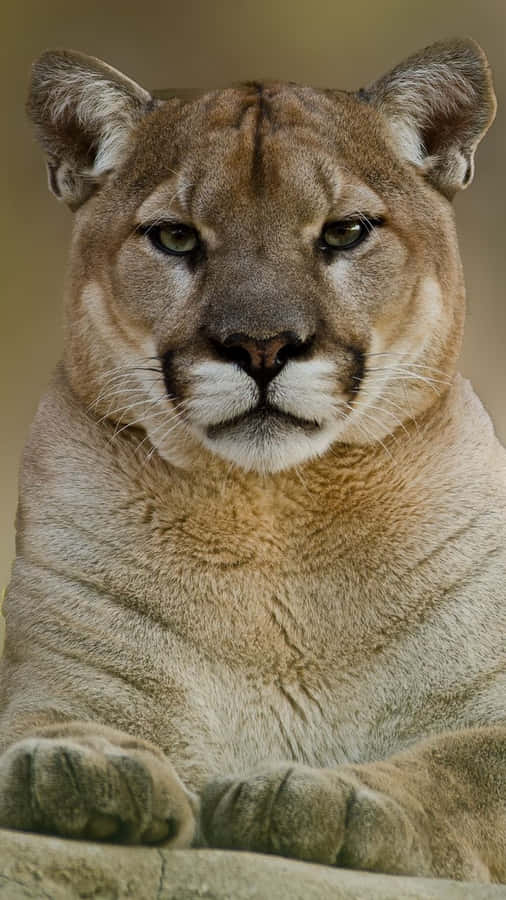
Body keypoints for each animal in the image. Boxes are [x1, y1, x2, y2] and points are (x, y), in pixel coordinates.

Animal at [0, 38, 504, 882]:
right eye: (175, 237)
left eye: (346, 232)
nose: (261, 346)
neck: (278, 524)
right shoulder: (61, 681)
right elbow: (47, 725)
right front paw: (78, 766)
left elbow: (458, 768)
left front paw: (323, 796)